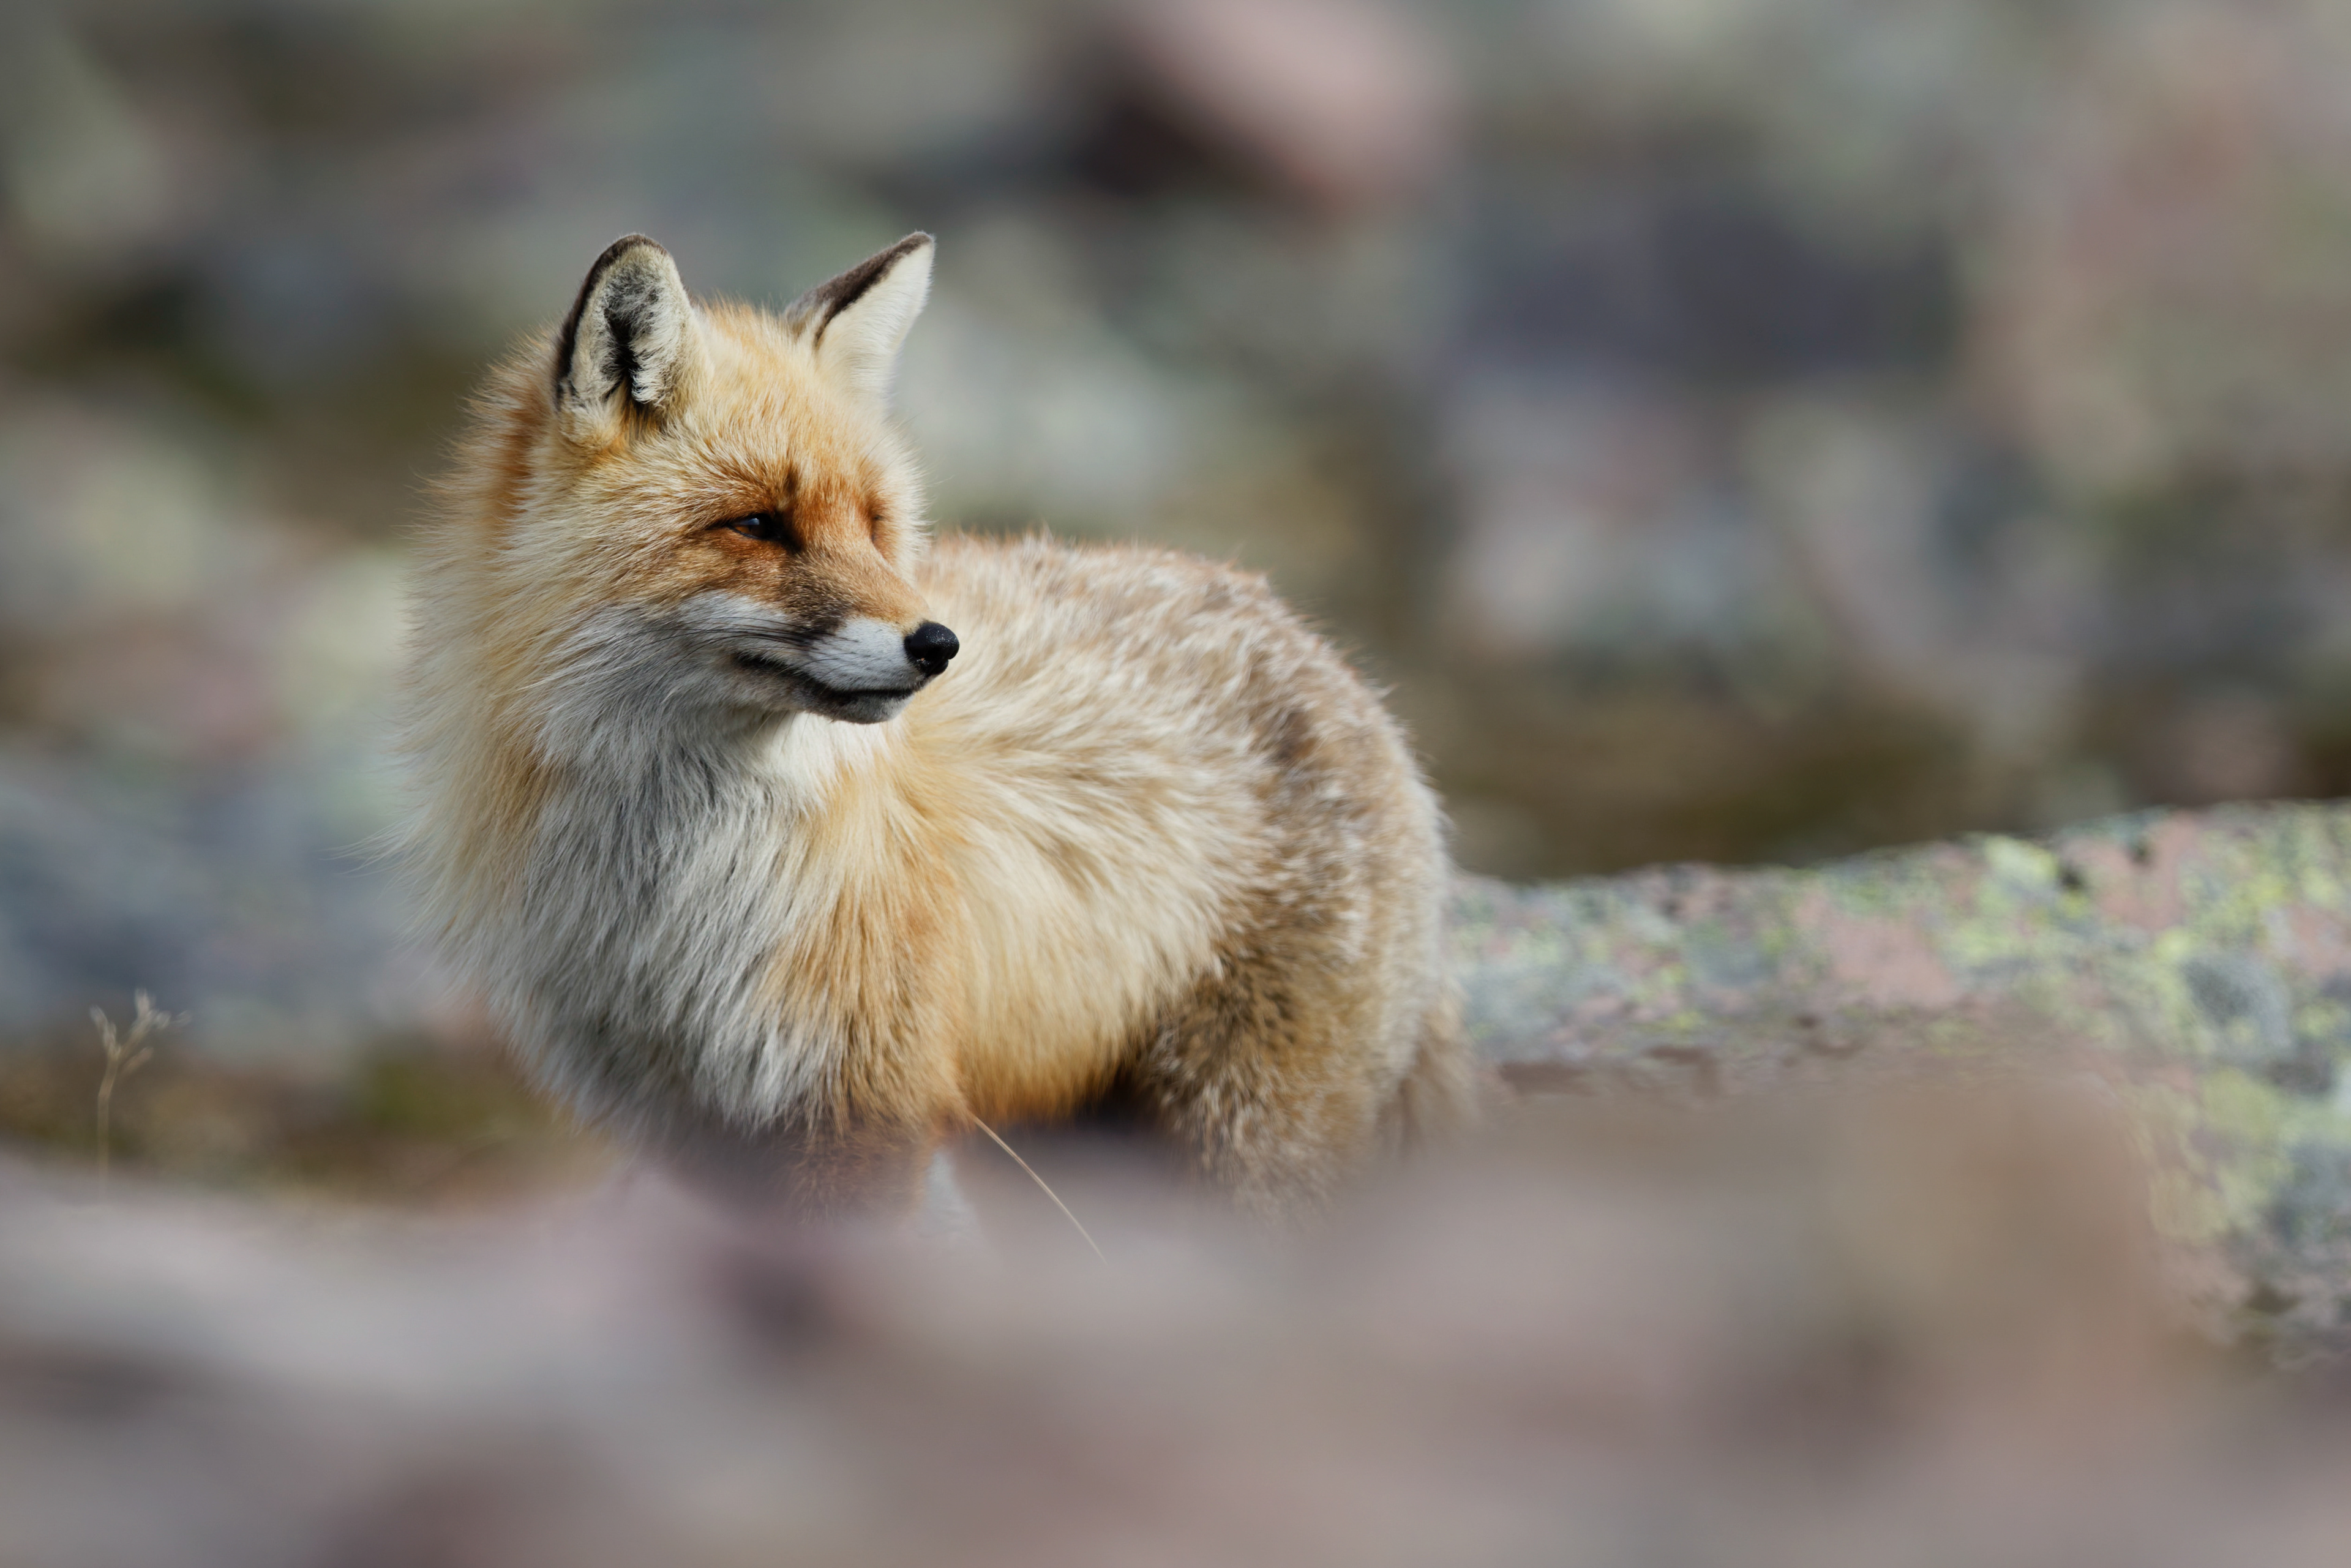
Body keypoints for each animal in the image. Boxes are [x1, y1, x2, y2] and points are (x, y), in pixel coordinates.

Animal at [400, 231, 1472, 1225]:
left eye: (876, 525)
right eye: (758, 525)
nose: (939, 644)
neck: (671, 905)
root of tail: (1327, 651)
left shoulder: (868, 1107)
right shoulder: (695, 1132)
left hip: (1239, 1138)